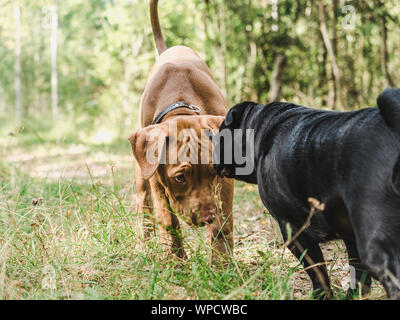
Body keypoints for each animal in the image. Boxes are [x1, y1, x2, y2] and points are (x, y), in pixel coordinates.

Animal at [128, 0, 234, 262]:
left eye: (213, 172)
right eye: (180, 177)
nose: (207, 217)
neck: (181, 105)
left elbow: (224, 221)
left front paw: (222, 263)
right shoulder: (156, 178)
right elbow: (168, 220)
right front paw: (175, 262)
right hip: (141, 176)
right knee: (143, 205)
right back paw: (144, 244)